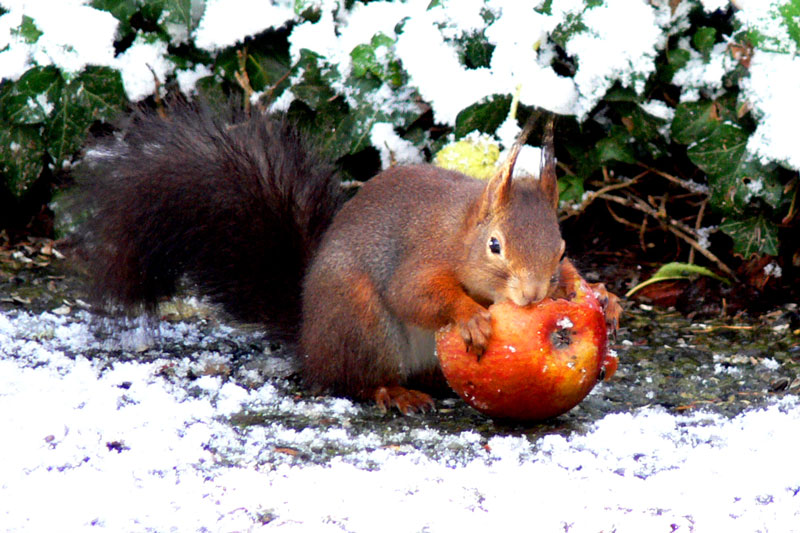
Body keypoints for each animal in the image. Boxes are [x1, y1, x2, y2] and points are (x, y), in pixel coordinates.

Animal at [72, 103, 620, 412]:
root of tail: (308, 337)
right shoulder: (419, 255)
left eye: (562, 248)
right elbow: (415, 294)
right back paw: (394, 394)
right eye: (495, 246)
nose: (533, 295)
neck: (460, 229)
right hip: (361, 323)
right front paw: (470, 317)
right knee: (352, 381)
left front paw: (603, 300)